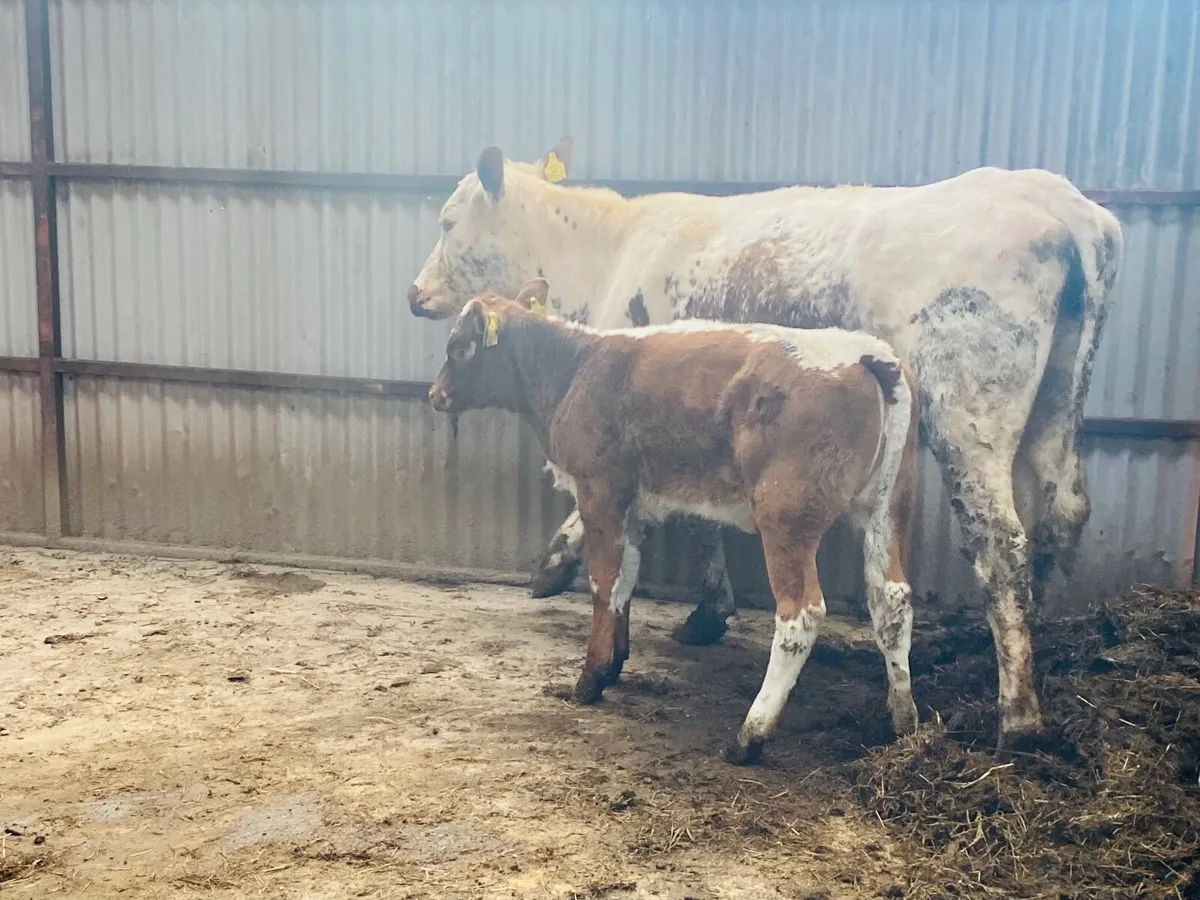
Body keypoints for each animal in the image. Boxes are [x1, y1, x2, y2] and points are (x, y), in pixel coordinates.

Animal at [428, 281, 921, 764]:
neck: (575, 369)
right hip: (887, 507)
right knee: (891, 600)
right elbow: (626, 578)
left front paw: (590, 678)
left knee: (800, 615)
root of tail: (864, 353)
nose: (435, 394)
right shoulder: (636, 504)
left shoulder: (600, 489)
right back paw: (903, 720)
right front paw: (614, 663)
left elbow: (604, 581)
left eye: (458, 347)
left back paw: (751, 735)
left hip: (787, 515)